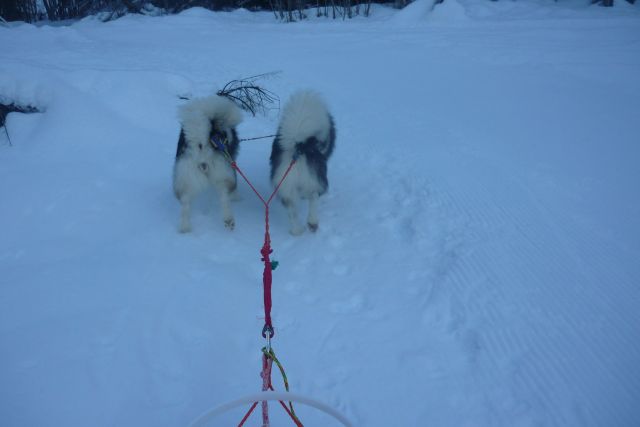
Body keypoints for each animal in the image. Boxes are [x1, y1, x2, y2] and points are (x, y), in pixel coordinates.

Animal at [172, 96, 242, 234]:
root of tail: (201, 143)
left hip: (187, 176)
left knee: (185, 202)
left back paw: (185, 228)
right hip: (223, 172)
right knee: (224, 196)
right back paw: (229, 218)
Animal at [268, 90, 336, 236]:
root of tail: (299, 147)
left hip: (286, 186)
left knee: (292, 211)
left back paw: (297, 231)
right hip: (315, 180)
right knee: (314, 197)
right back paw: (312, 223)